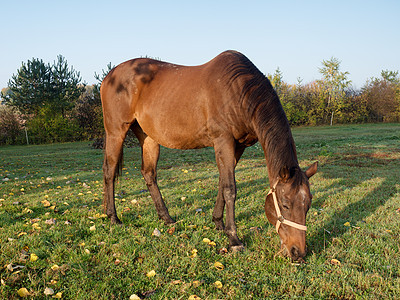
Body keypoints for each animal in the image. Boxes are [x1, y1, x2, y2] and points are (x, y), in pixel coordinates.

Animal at [101, 49, 318, 260]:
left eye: (307, 204)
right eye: (285, 204)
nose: (298, 252)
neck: (237, 91)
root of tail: (109, 77)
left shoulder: (238, 146)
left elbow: (223, 183)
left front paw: (218, 223)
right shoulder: (223, 140)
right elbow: (230, 188)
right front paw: (234, 239)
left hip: (148, 137)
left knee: (149, 173)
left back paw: (166, 218)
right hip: (116, 132)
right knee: (109, 171)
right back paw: (113, 217)